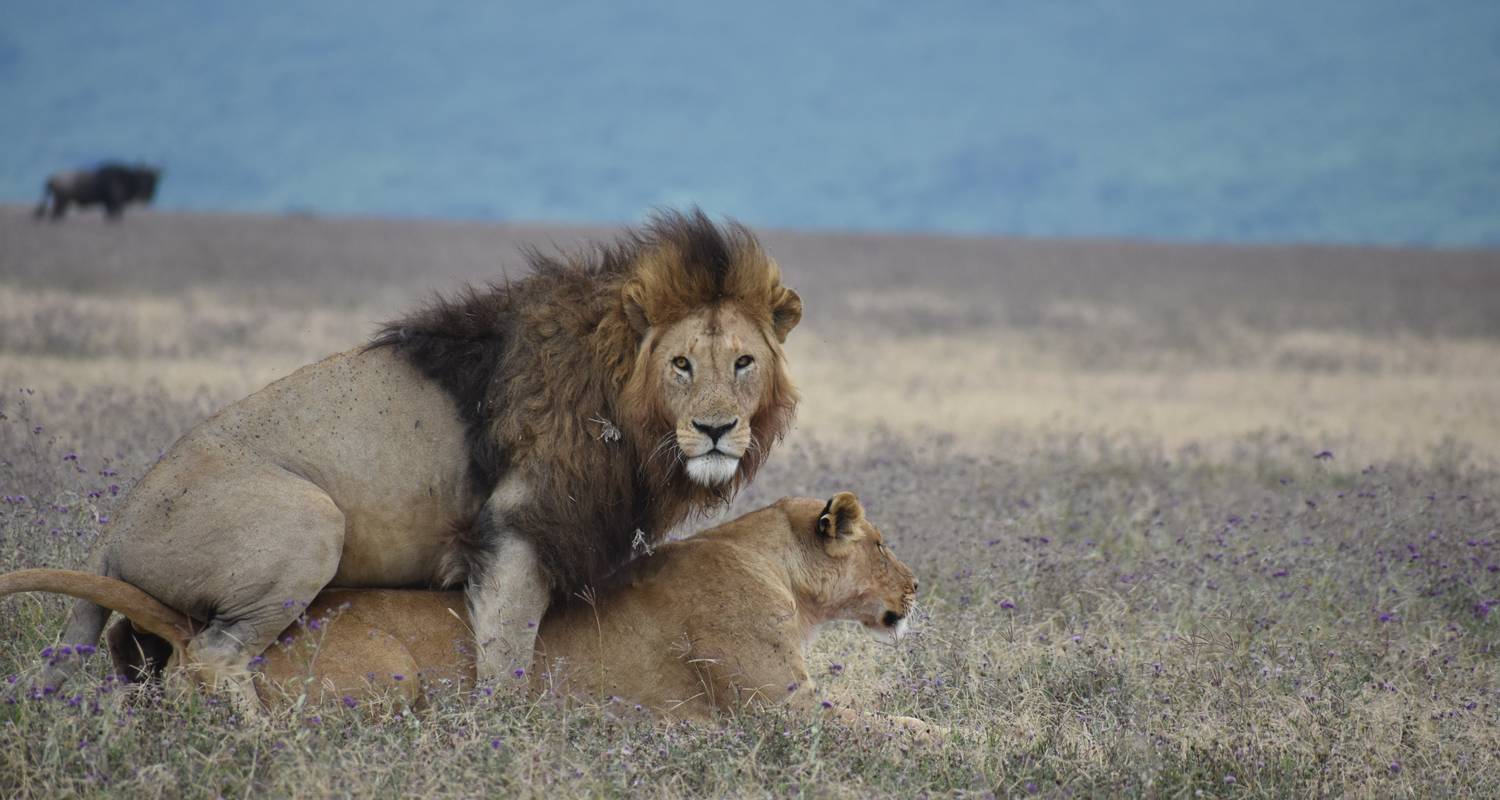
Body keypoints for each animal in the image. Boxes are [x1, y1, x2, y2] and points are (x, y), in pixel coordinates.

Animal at [5, 492, 930, 735]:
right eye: (884, 543)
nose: (918, 587)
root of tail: (205, 630)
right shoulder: (783, 713)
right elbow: (901, 727)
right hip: (390, 678)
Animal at [41, 208, 804, 702]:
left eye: (743, 362)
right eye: (681, 364)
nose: (715, 428)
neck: (628, 407)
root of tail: (113, 529)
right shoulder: (513, 537)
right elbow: (506, 673)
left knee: (141, 652)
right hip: (311, 526)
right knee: (210, 656)